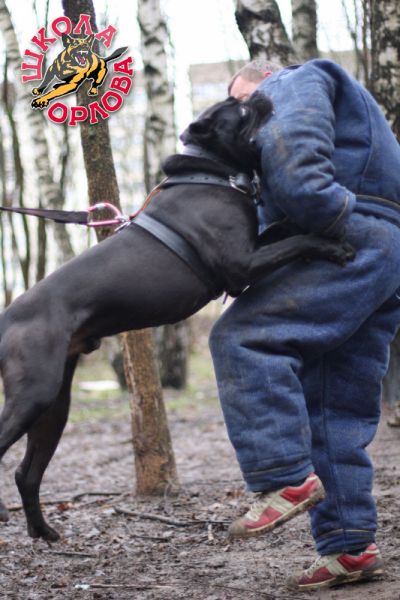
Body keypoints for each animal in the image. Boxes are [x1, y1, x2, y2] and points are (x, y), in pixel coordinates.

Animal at [0, 92, 354, 541]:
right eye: (238, 109)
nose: (258, 93)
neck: (214, 171)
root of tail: (6, 318)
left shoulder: (254, 246)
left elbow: (284, 230)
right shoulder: (242, 265)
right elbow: (296, 241)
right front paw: (333, 245)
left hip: (54, 404)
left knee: (26, 473)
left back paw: (43, 532)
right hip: (34, 394)